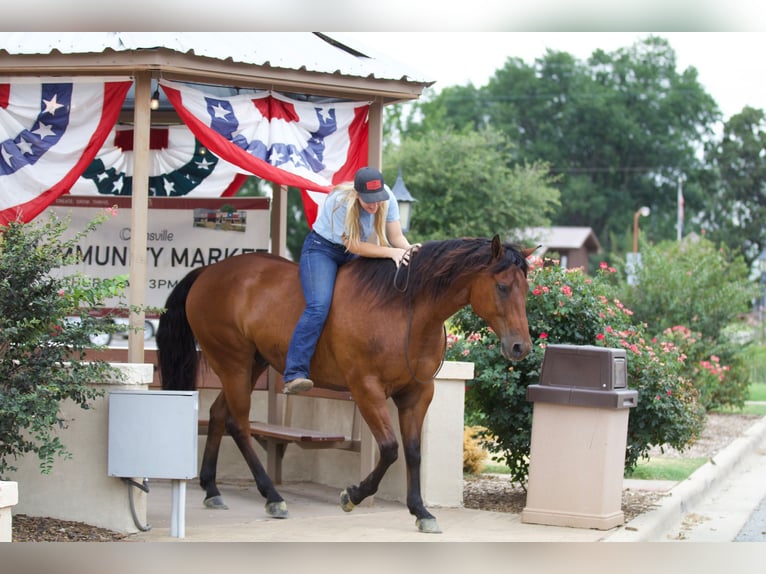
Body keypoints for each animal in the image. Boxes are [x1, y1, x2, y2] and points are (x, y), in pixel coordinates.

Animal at [156, 235, 536, 536]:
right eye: (502, 287)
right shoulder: (366, 389)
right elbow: (390, 449)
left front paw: (421, 511)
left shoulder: (417, 394)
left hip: (251, 366)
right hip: (233, 364)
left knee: (220, 415)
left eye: (526, 290)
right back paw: (273, 497)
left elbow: (413, 452)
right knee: (239, 424)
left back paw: (212, 489)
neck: (404, 312)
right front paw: (352, 495)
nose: (521, 347)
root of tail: (208, 273)